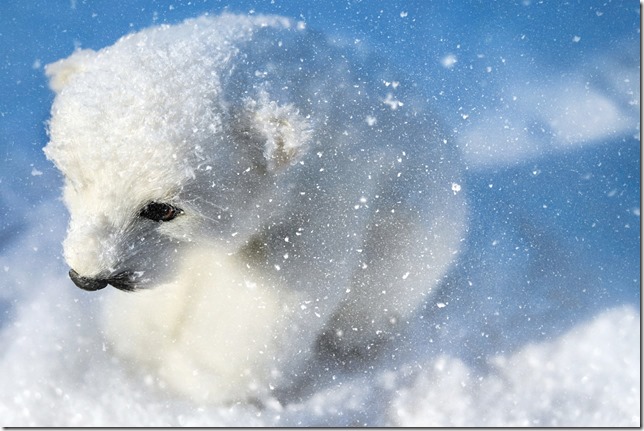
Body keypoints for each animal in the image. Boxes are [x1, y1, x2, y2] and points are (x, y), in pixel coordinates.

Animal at [44, 13, 467, 404]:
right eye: (76, 180)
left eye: (163, 209)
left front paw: (196, 375)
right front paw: (139, 344)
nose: (88, 277)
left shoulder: (319, 202)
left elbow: (264, 301)